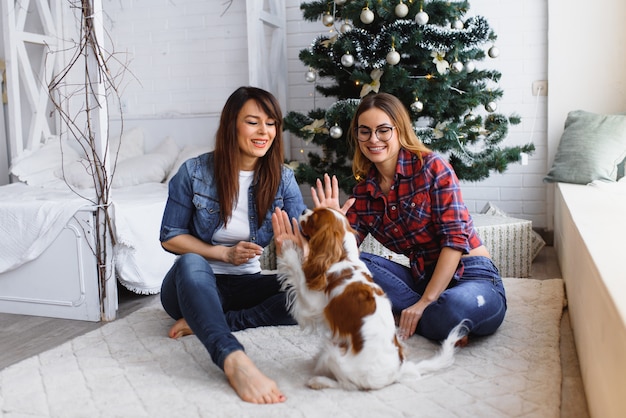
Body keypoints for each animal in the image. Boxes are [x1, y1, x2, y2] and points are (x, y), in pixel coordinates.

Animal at [276, 207, 466, 390]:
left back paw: (319, 380)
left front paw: (287, 248)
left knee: (348, 385)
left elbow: (297, 271)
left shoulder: (312, 304)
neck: (344, 258)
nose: (303, 211)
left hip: (333, 353)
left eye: (314, 218)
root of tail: (397, 373)